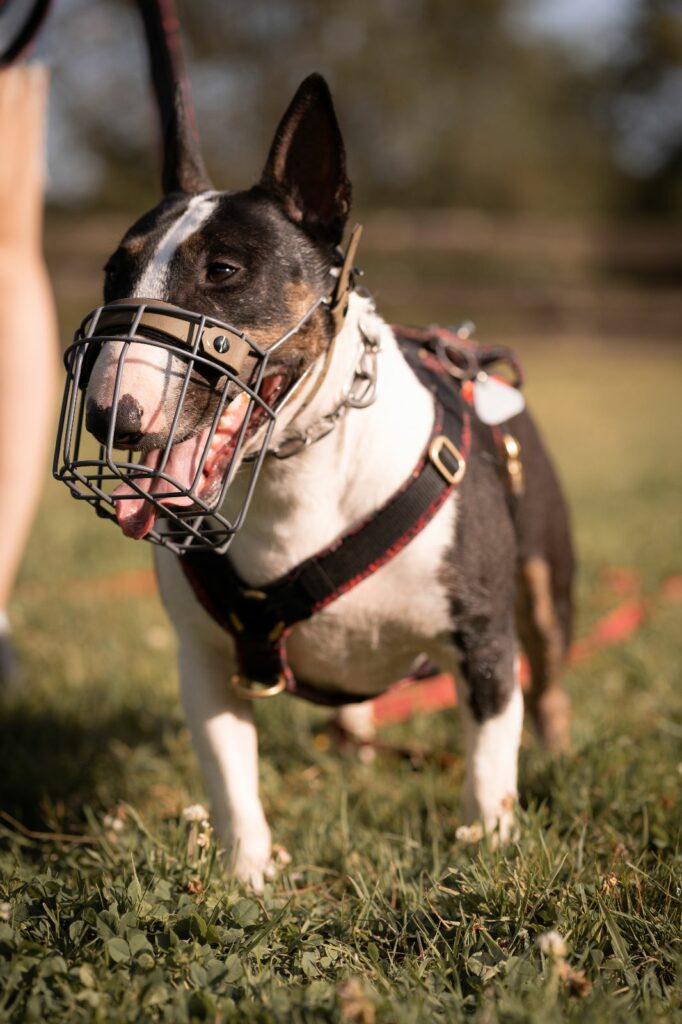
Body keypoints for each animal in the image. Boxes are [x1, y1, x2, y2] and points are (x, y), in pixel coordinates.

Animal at [76, 70, 569, 888]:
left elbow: (488, 768)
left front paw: (491, 858)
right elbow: (232, 781)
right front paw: (246, 879)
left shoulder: (483, 639)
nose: (110, 417)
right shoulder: (205, 663)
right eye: (116, 272)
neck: (293, 473)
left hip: (544, 580)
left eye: (222, 271)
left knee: (552, 673)